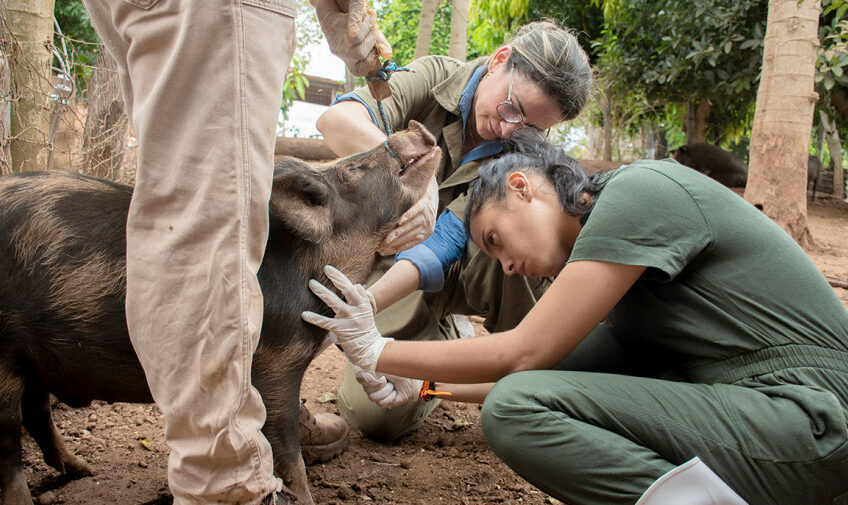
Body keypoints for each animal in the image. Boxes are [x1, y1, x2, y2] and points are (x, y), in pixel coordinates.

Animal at [1, 120, 444, 504]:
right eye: (353, 169)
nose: (416, 127)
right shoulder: (273, 363)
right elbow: (286, 449)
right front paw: (303, 497)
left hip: (33, 358)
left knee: (37, 412)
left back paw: (83, 470)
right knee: (11, 444)